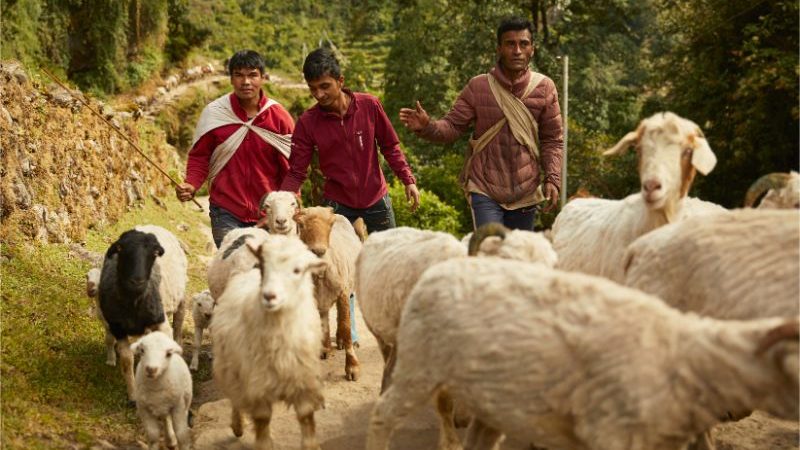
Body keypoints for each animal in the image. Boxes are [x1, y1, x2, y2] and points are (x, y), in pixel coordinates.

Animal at [98, 225, 188, 404]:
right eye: (120, 248)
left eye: (155, 253)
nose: (137, 281)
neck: (134, 302)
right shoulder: (118, 328)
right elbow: (126, 361)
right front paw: (133, 395)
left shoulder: (160, 322)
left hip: (180, 300)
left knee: (178, 326)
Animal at [212, 236, 328, 450]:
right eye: (264, 266)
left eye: (297, 270)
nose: (269, 296)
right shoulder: (257, 386)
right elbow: (262, 424)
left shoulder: (303, 381)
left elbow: (306, 419)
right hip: (231, 367)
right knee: (235, 398)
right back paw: (237, 425)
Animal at [296, 207, 360, 380]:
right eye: (301, 224)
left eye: (330, 225)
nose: (318, 251)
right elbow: (321, 324)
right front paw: (324, 350)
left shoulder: (343, 293)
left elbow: (345, 326)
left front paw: (352, 367)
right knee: (325, 317)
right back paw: (326, 347)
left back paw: (340, 341)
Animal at [366, 256, 796, 450]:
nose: (737, 413)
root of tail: (438, 269)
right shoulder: (610, 434)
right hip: (419, 367)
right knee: (383, 414)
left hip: (488, 397)